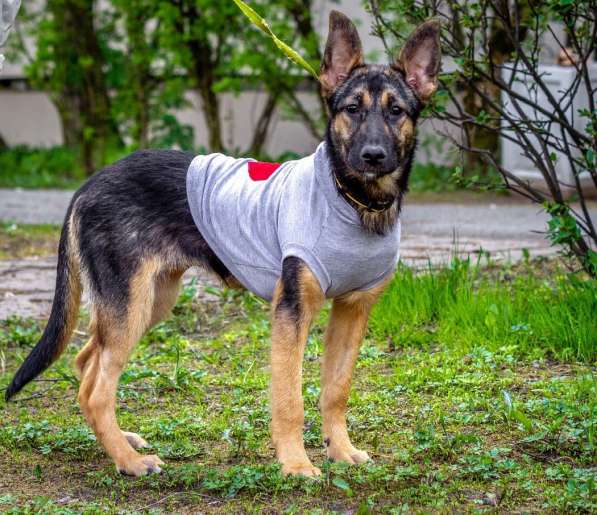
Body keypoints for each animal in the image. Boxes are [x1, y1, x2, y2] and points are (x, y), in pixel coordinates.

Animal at [4, 11, 440, 480]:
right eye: (352, 109)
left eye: (396, 111)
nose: (373, 156)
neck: (352, 201)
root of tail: (88, 185)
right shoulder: (291, 312)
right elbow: (290, 399)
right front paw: (295, 464)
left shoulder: (353, 311)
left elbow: (335, 389)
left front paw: (340, 450)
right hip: (130, 304)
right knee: (96, 387)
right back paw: (130, 461)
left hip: (151, 299)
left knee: (87, 364)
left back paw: (123, 442)